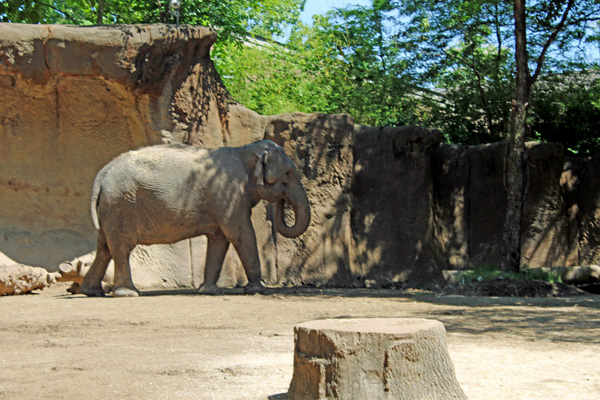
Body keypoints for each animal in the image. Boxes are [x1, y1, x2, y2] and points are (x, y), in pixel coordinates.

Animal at [79, 141, 310, 296]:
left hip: (110, 208)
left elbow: (219, 239)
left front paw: (209, 291)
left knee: (104, 247)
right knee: (121, 247)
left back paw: (92, 291)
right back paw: (128, 293)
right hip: (121, 204)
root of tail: (103, 173)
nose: (282, 203)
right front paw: (257, 290)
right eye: (288, 173)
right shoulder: (228, 193)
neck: (244, 150)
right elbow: (240, 234)